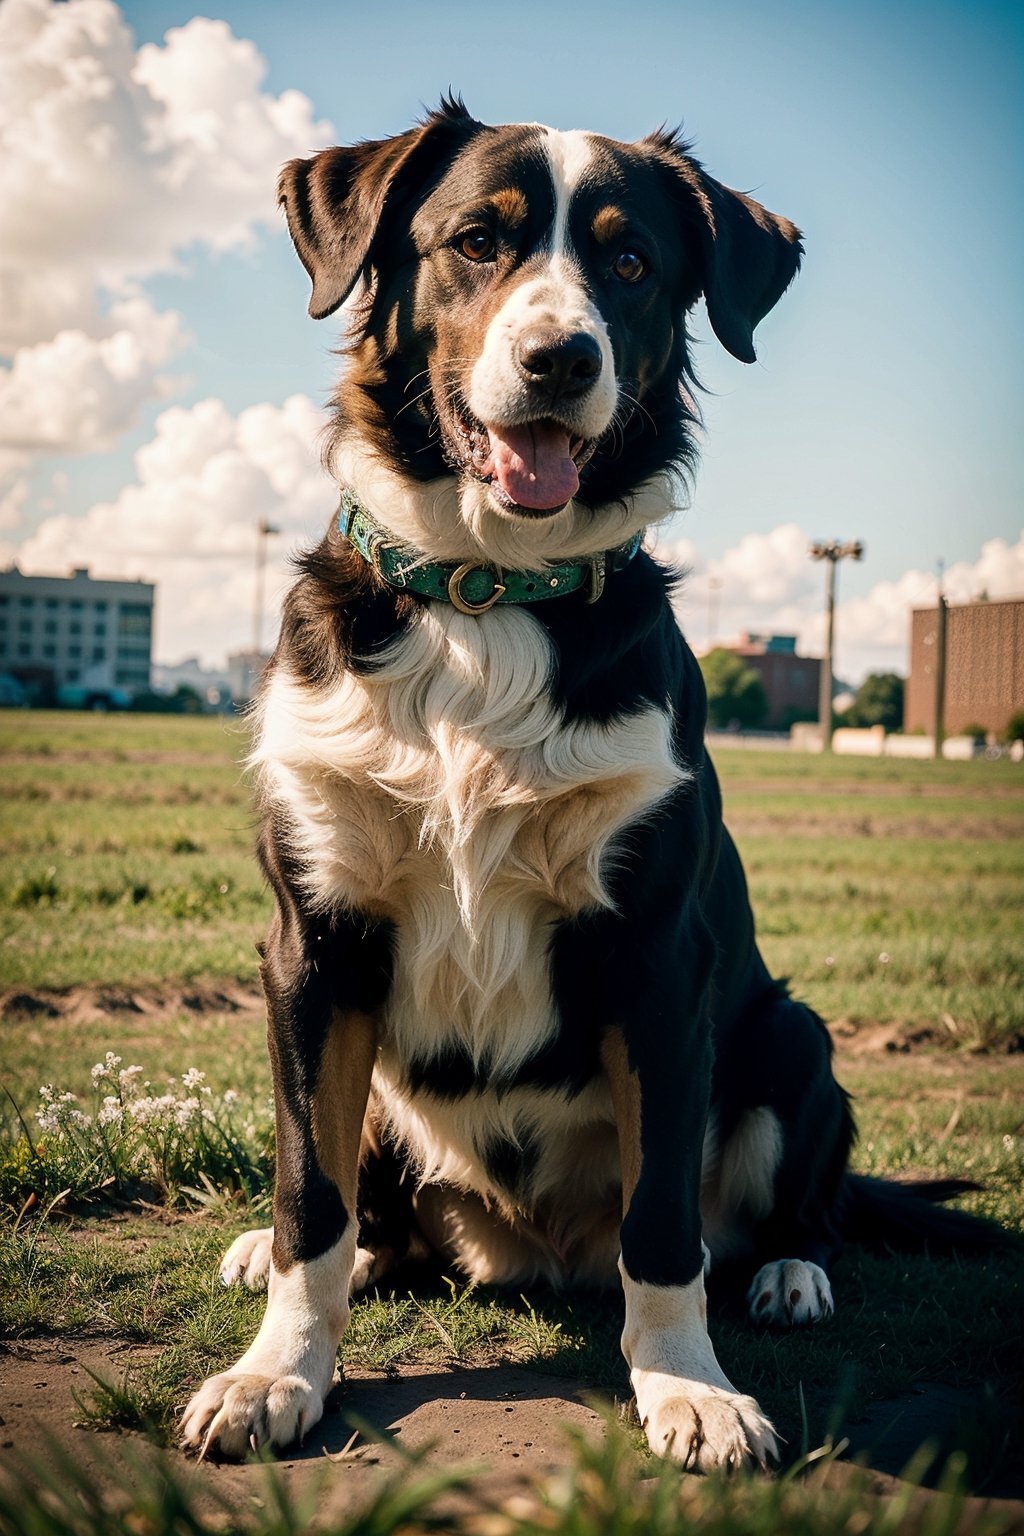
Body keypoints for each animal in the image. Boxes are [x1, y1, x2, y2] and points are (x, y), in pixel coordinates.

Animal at [180, 99, 994, 1474]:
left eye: (629, 264)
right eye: (474, 241)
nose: (560, 358)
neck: (486, 597)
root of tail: (536, 1251)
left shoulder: (657, 956)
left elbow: (663, 1226)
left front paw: (687, 1388)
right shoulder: (316, 942)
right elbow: (309, 1198)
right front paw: (276, 1373)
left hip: (789, 1036)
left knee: (783, 1211)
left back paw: (787, 1275)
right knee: (369, 1218)